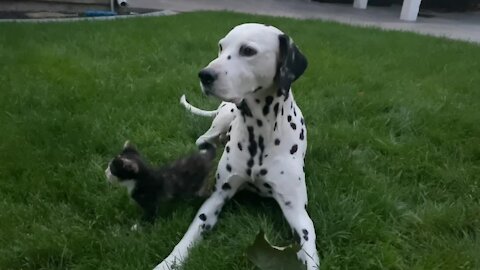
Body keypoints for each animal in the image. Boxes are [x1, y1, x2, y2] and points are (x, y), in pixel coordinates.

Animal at [154, 22, 318, 270]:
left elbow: (310, 248)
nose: (205, 75)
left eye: (248, 51)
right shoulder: (216, 198)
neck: (259, 134)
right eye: (221, 46)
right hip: (222, 118)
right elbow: (188, 237)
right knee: (204, 139)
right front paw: (168, 262)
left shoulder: (298, 212)